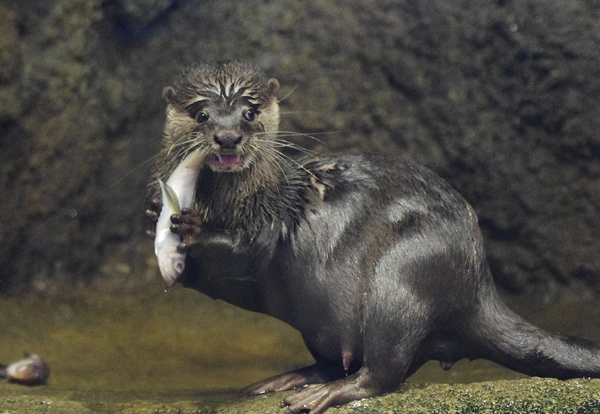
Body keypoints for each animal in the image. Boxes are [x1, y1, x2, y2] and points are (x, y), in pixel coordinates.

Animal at [148, 61, 600, 414]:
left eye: (249, 112)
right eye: (201, 114)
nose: (228, 137)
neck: (236, 201)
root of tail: (478, 285)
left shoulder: (270, 220)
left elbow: (245, 254)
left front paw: (191, 227)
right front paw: (157, 211)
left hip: (405, 274)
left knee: (383, 370)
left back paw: (322, 394)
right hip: (319, 320)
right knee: (337, 359)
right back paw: (285, 380)